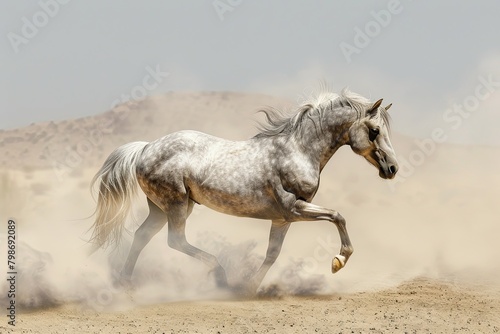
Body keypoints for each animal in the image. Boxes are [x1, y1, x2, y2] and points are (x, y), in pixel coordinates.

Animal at [91, 88, 398, 292]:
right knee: (175, 240)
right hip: (177, 204)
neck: (298, 150)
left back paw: (126, 284)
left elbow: (273, 253)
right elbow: (338, 215)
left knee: (142, 236)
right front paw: (338, 261)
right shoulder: (295, 209)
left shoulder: (283, 218)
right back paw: (219, 275)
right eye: (374, 131)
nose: (392, 168)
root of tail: (145, 147)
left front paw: (250, 287)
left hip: (162, 207)